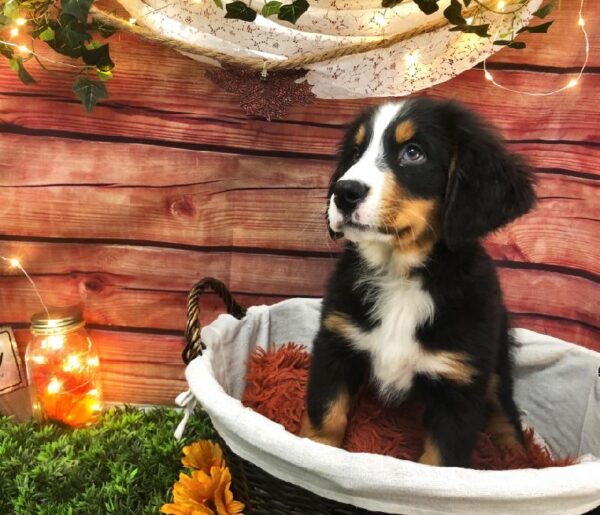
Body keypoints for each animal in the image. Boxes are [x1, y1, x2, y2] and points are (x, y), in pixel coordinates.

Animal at [298, 99, 536, 470]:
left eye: (413, 153)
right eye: (355, 152)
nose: (344, 192)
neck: (401, 276)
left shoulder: (459, 385)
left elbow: (439, 462)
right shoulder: (335, 345)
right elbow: (326, 416)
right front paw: (313, 453)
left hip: (494, 362)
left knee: (505, 410)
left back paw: (515, 456)